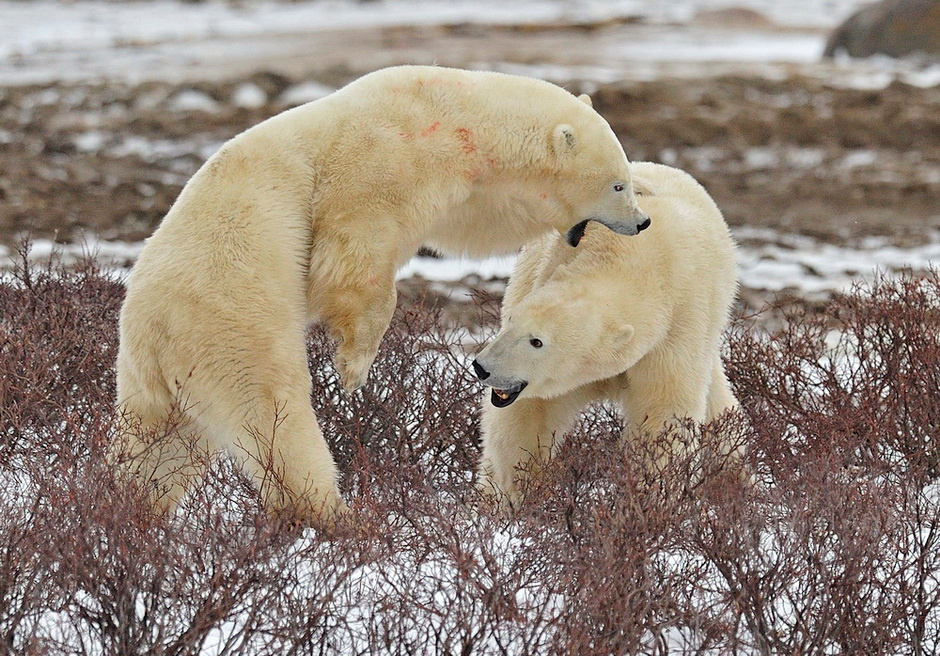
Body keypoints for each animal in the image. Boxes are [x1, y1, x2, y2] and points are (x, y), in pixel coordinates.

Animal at [115, 65, 652, 526]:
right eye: (618, 184)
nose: (643, 222)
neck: (458, 114)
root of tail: (156, 335)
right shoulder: (384, 160)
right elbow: (353, 252)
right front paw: (354, 369)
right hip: (232, 324)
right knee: (274, 418)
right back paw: (337, 515)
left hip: (156, 378)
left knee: (156, 449)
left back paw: (128, 509)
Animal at [473, 161, 740, 509]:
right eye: (510, 321)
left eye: (537, 341)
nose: (482, 367)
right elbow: (531, 416)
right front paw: (509, 496)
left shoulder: (680, 323)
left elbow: (664, 409)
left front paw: (649, 501)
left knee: (721, 414)